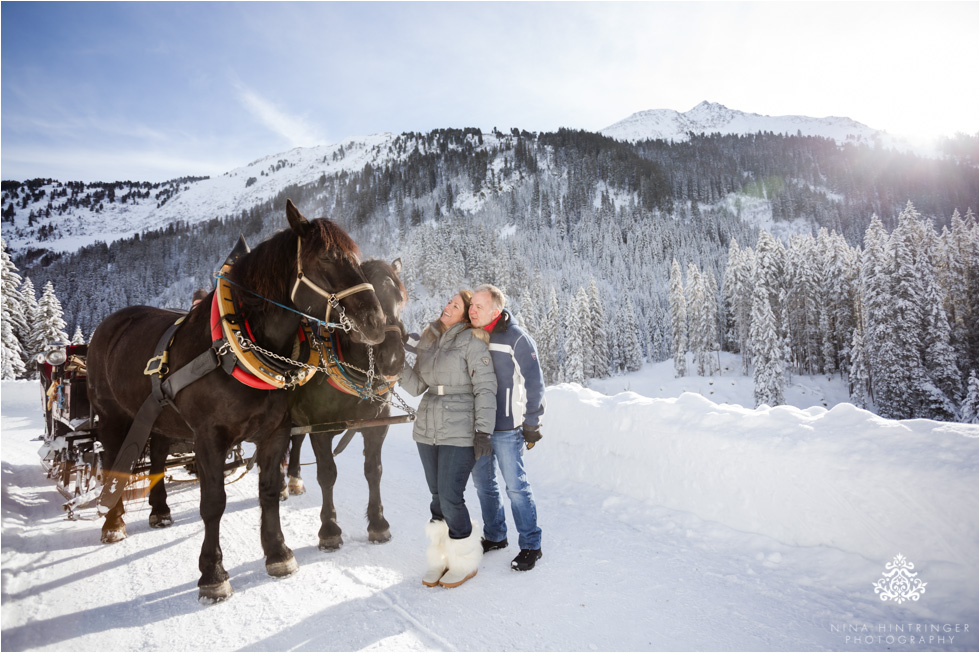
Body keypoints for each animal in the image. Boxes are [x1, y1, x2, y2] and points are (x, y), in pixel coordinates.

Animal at [86, 199, 386, 600]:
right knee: (114, 464)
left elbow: (269, 491)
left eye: (356, 258)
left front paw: (278, 553)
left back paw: (159, 509)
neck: (237, 345)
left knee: (158, 459)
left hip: (158, 418)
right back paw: (113, 522)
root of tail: (108, 324)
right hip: (112, 417)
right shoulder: (209, 437)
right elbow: (213, 503)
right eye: (325, 259)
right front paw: (212, 573)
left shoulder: (275, 432)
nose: (375, 322)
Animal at [286, 258, 408, 548]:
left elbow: (374, 470)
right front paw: (329, 529)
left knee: (295, 440)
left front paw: (378, 523)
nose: (393, 358)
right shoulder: (321, 428)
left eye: (400, 298)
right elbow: (327, 473)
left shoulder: (377, 423)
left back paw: (294, 478)